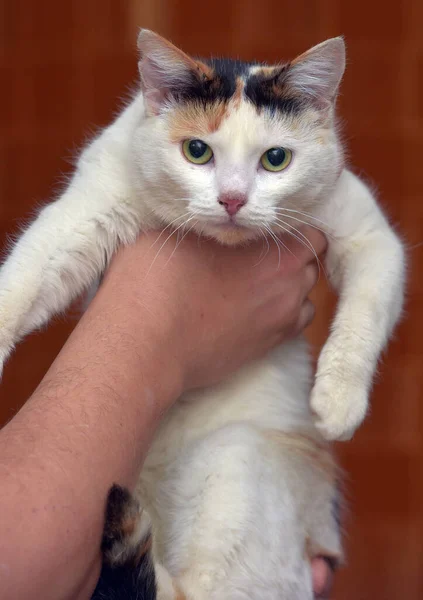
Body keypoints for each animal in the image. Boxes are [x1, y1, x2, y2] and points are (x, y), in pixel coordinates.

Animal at [0, 30, 408, 596]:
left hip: (237, 456)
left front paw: (339, 402)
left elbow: (365, 312)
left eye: (276, 159)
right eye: (197, 151)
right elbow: (28, 272)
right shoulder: (88, 209)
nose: (232, 199)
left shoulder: (368, 234)